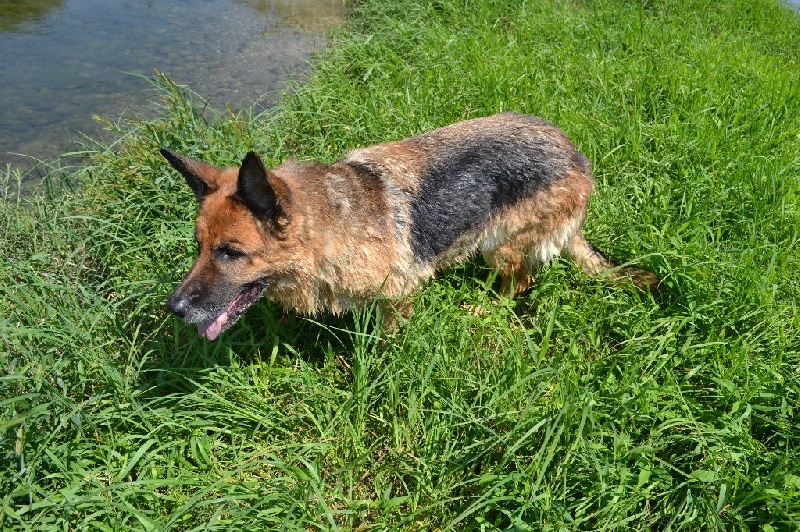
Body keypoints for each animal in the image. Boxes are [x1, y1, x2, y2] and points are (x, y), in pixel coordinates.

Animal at [159, 112, 660, 340]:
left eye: (230, 252)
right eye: (199, 247)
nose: (174, 308)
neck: (332, 226)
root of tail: (576, 155)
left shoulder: (397, 300)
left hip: (500, 246)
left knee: (518, 282)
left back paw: (484, 310)